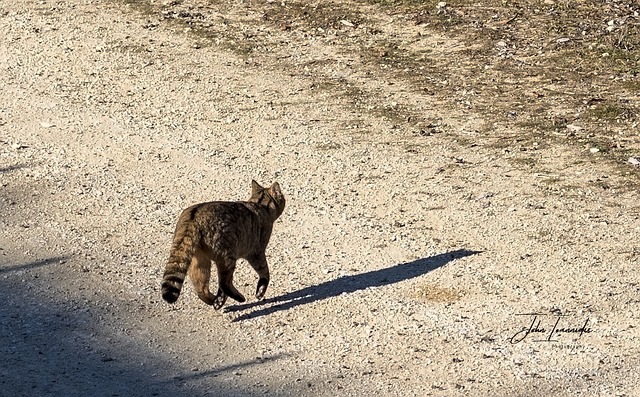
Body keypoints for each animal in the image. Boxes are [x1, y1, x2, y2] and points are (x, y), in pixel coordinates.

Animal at [161, 180, 286, 310]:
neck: (259, 204)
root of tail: (193, 219)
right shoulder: (256, 252)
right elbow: (265, 272)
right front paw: (260, 292)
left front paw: (220, 299)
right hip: (227, 255)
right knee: (224, 283)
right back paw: (237, 298)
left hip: (199, 261)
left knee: (201, 288)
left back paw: (214, 300)